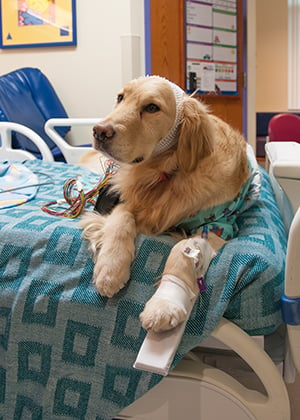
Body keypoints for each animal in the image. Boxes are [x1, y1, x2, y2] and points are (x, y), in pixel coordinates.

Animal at [79, 74, 251, 332]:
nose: (99, 131)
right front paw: (110, 269)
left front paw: (164, 305)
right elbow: (120, 221)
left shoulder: (220, 225)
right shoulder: (128, 200)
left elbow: (183, 250)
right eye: (120, 98)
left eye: (152, 108)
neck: (166, 171)